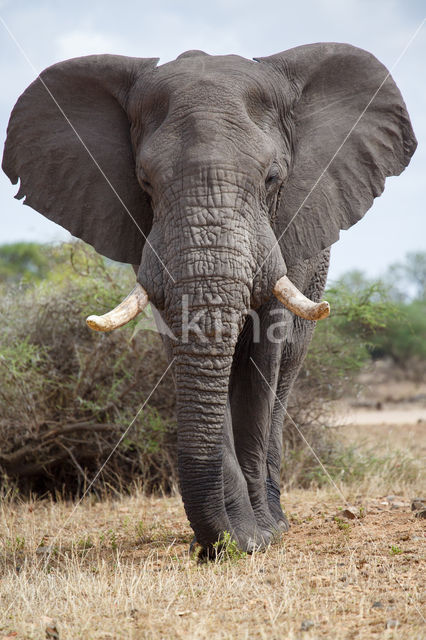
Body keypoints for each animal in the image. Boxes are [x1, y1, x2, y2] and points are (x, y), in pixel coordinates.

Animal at [2, 43, 416, 556]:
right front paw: (238, 539)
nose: (226, 544)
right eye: (145, 184)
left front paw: (262, 536)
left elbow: (263, 358)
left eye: (272, 179)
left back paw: (277, 520)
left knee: (287, 370)